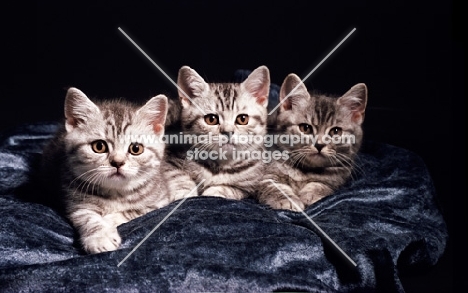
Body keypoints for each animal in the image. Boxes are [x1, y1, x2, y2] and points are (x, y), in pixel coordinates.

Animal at [42, 87, 170, 253]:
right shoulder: (75, 202)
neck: (115, 193)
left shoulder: (160, 202)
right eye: (99, 146)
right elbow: (87, 217)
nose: (117, 162)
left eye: (136, 148)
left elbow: (131, 212)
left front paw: (109, 220)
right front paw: (100, 236)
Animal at [163, 65, 268, 200]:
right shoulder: (167, 160)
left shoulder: (248, 186)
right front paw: (184, 192)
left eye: (242, 119)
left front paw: (214, 191)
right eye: (211, 119)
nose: (228, 132)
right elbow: (176, 175)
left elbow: (229, 188)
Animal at [258, 73, 368, 210]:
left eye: (336, 131)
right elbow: (273, 185)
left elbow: (322, 184)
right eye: (305, 128)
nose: (319, 144)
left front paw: (313, 194)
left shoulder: (337, 178)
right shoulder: (263, 175)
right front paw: (287, 199)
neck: (306, 171)